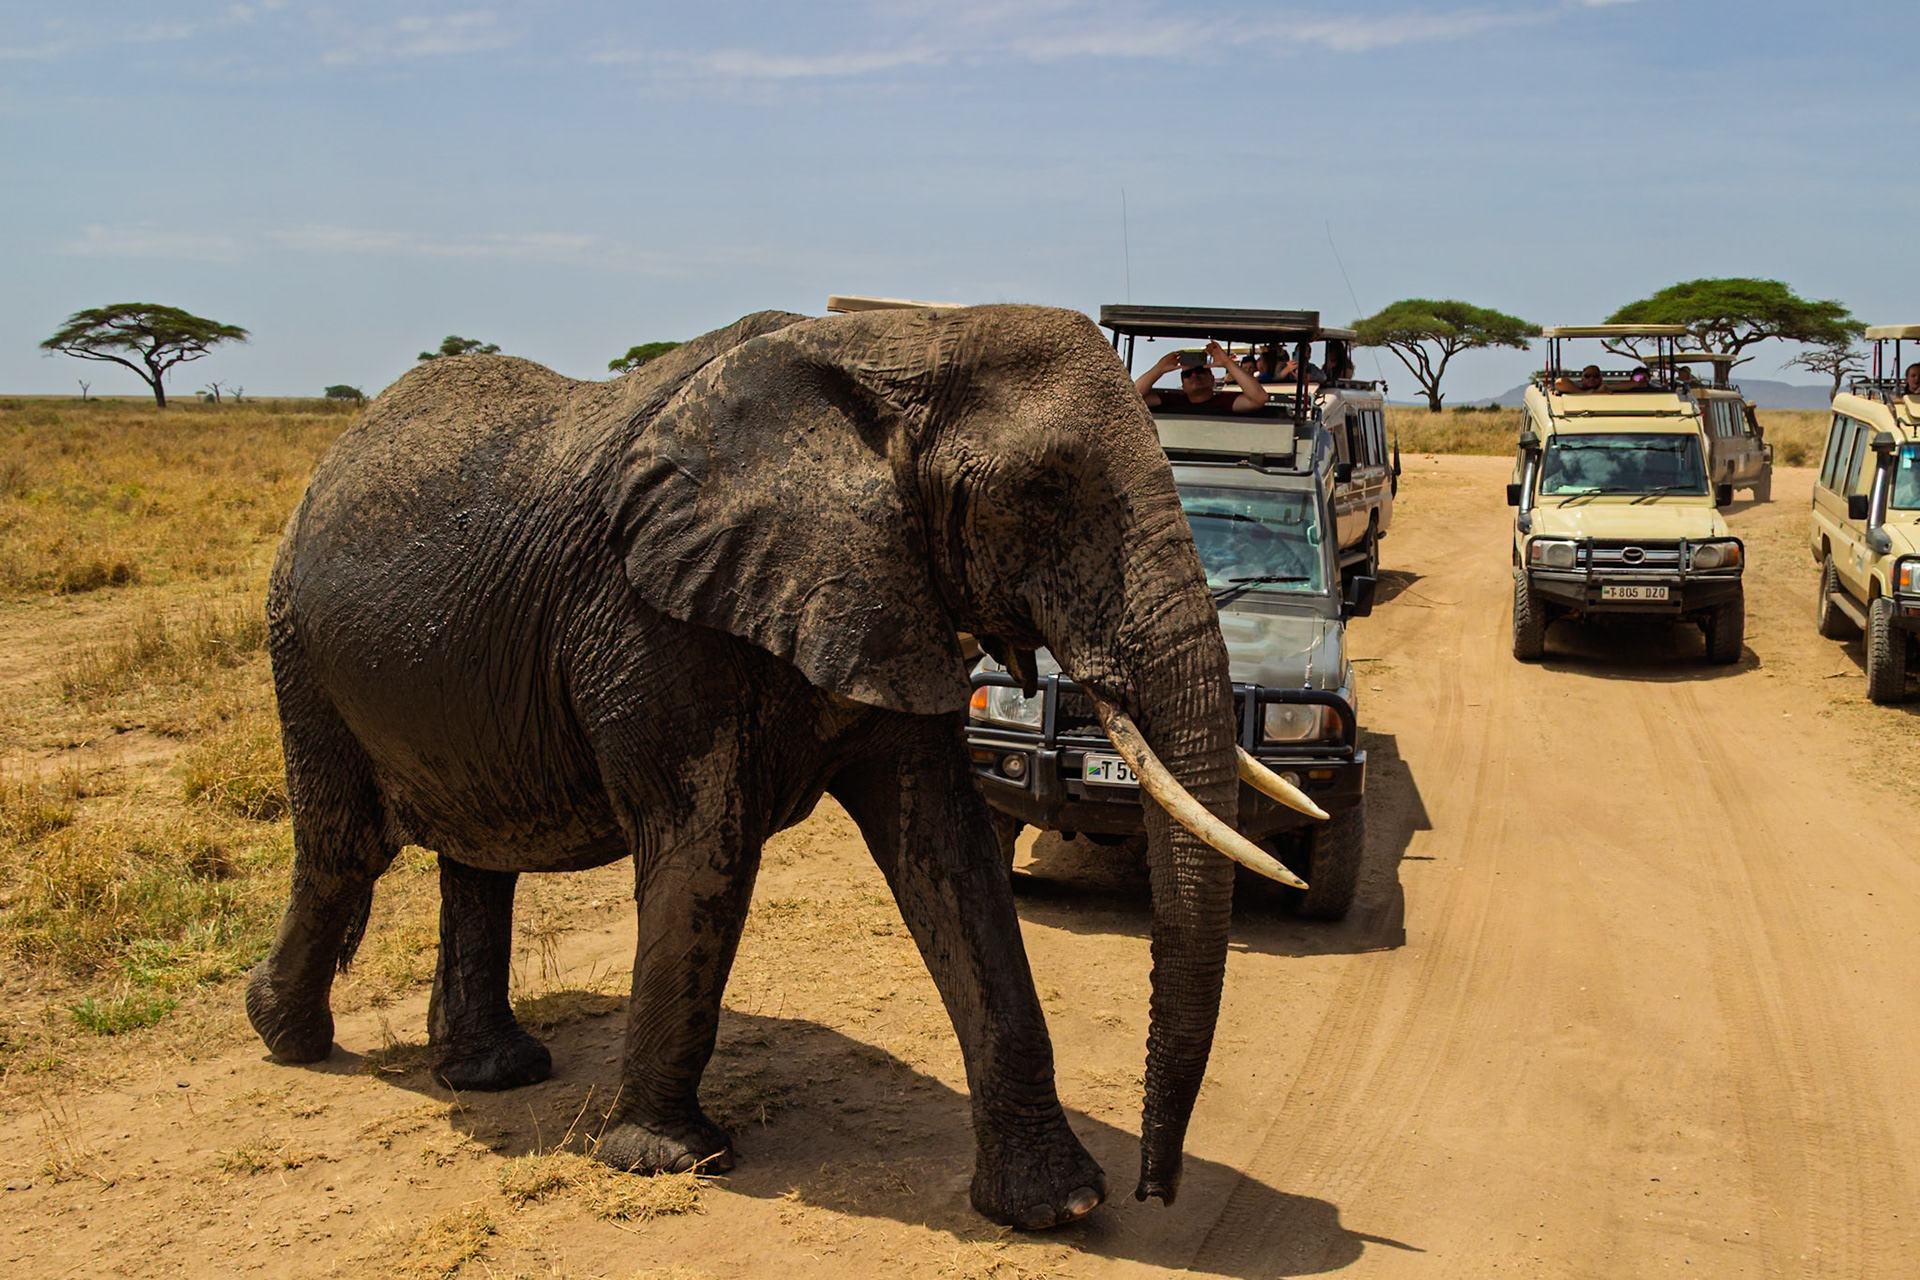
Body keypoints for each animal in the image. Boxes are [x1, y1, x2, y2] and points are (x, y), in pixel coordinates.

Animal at [245, 303, 1310, 1229]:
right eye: (1043, 494)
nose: (1155, 1193)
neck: (902, 341)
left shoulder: (892, 591)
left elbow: (951, 855)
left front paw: (1059, 1208)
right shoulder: (651, 620)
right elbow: (704, 848)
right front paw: (665, 1160)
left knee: (478, 860)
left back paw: (490, 1073)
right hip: (300, 643)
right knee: (344, 850)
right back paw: (286, 1038)